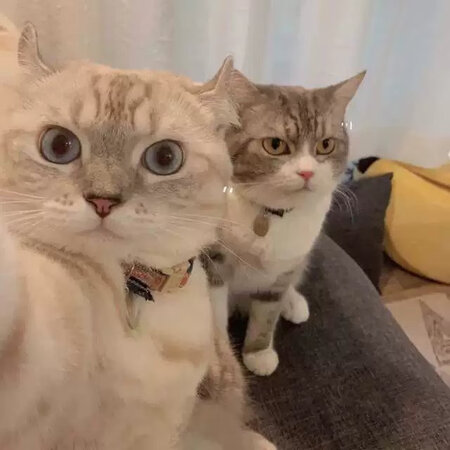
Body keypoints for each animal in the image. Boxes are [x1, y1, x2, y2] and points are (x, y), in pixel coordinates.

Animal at [202, 69, 365, 376]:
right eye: (275, 145)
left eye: (325, 145)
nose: (307, 172)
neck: (270, 215)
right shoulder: (213, 261)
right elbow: (215, 314)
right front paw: (225, 357)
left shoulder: (283, 268)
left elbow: (267, 313)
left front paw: (258, 352)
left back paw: (294, 303)